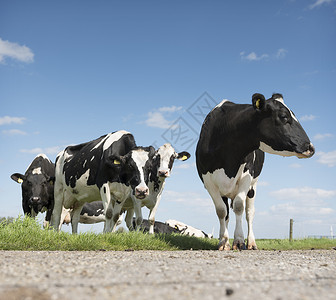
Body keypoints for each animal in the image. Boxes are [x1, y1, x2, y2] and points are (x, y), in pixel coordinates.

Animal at [196, 94, 316, 251]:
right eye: (284, 116)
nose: (311, 147)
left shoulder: (247, 176)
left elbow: (239, 207)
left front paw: (239, 241)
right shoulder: (208, 181)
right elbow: (221, 211)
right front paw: (223, 242)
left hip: (253, 187)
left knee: (249, 213)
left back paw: (251, 242)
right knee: (227, 214)